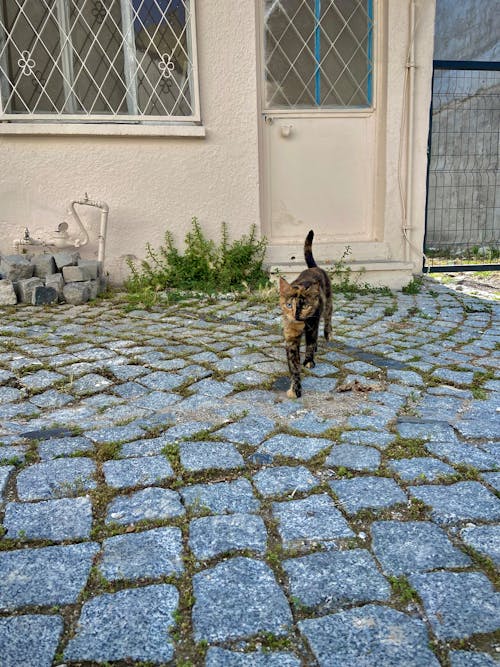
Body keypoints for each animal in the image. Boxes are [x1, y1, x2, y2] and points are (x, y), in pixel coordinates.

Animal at [280, 231, 330, 396]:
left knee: (327, 319)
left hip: (327, 304)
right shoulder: (290, 335)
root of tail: (314, 267)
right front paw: (295, 387)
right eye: (289, 305)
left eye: (305, 305)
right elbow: (293, 364)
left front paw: (308, 361)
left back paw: (327, 334)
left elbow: (310, 343)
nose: (296, 315)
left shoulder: (312, 325)